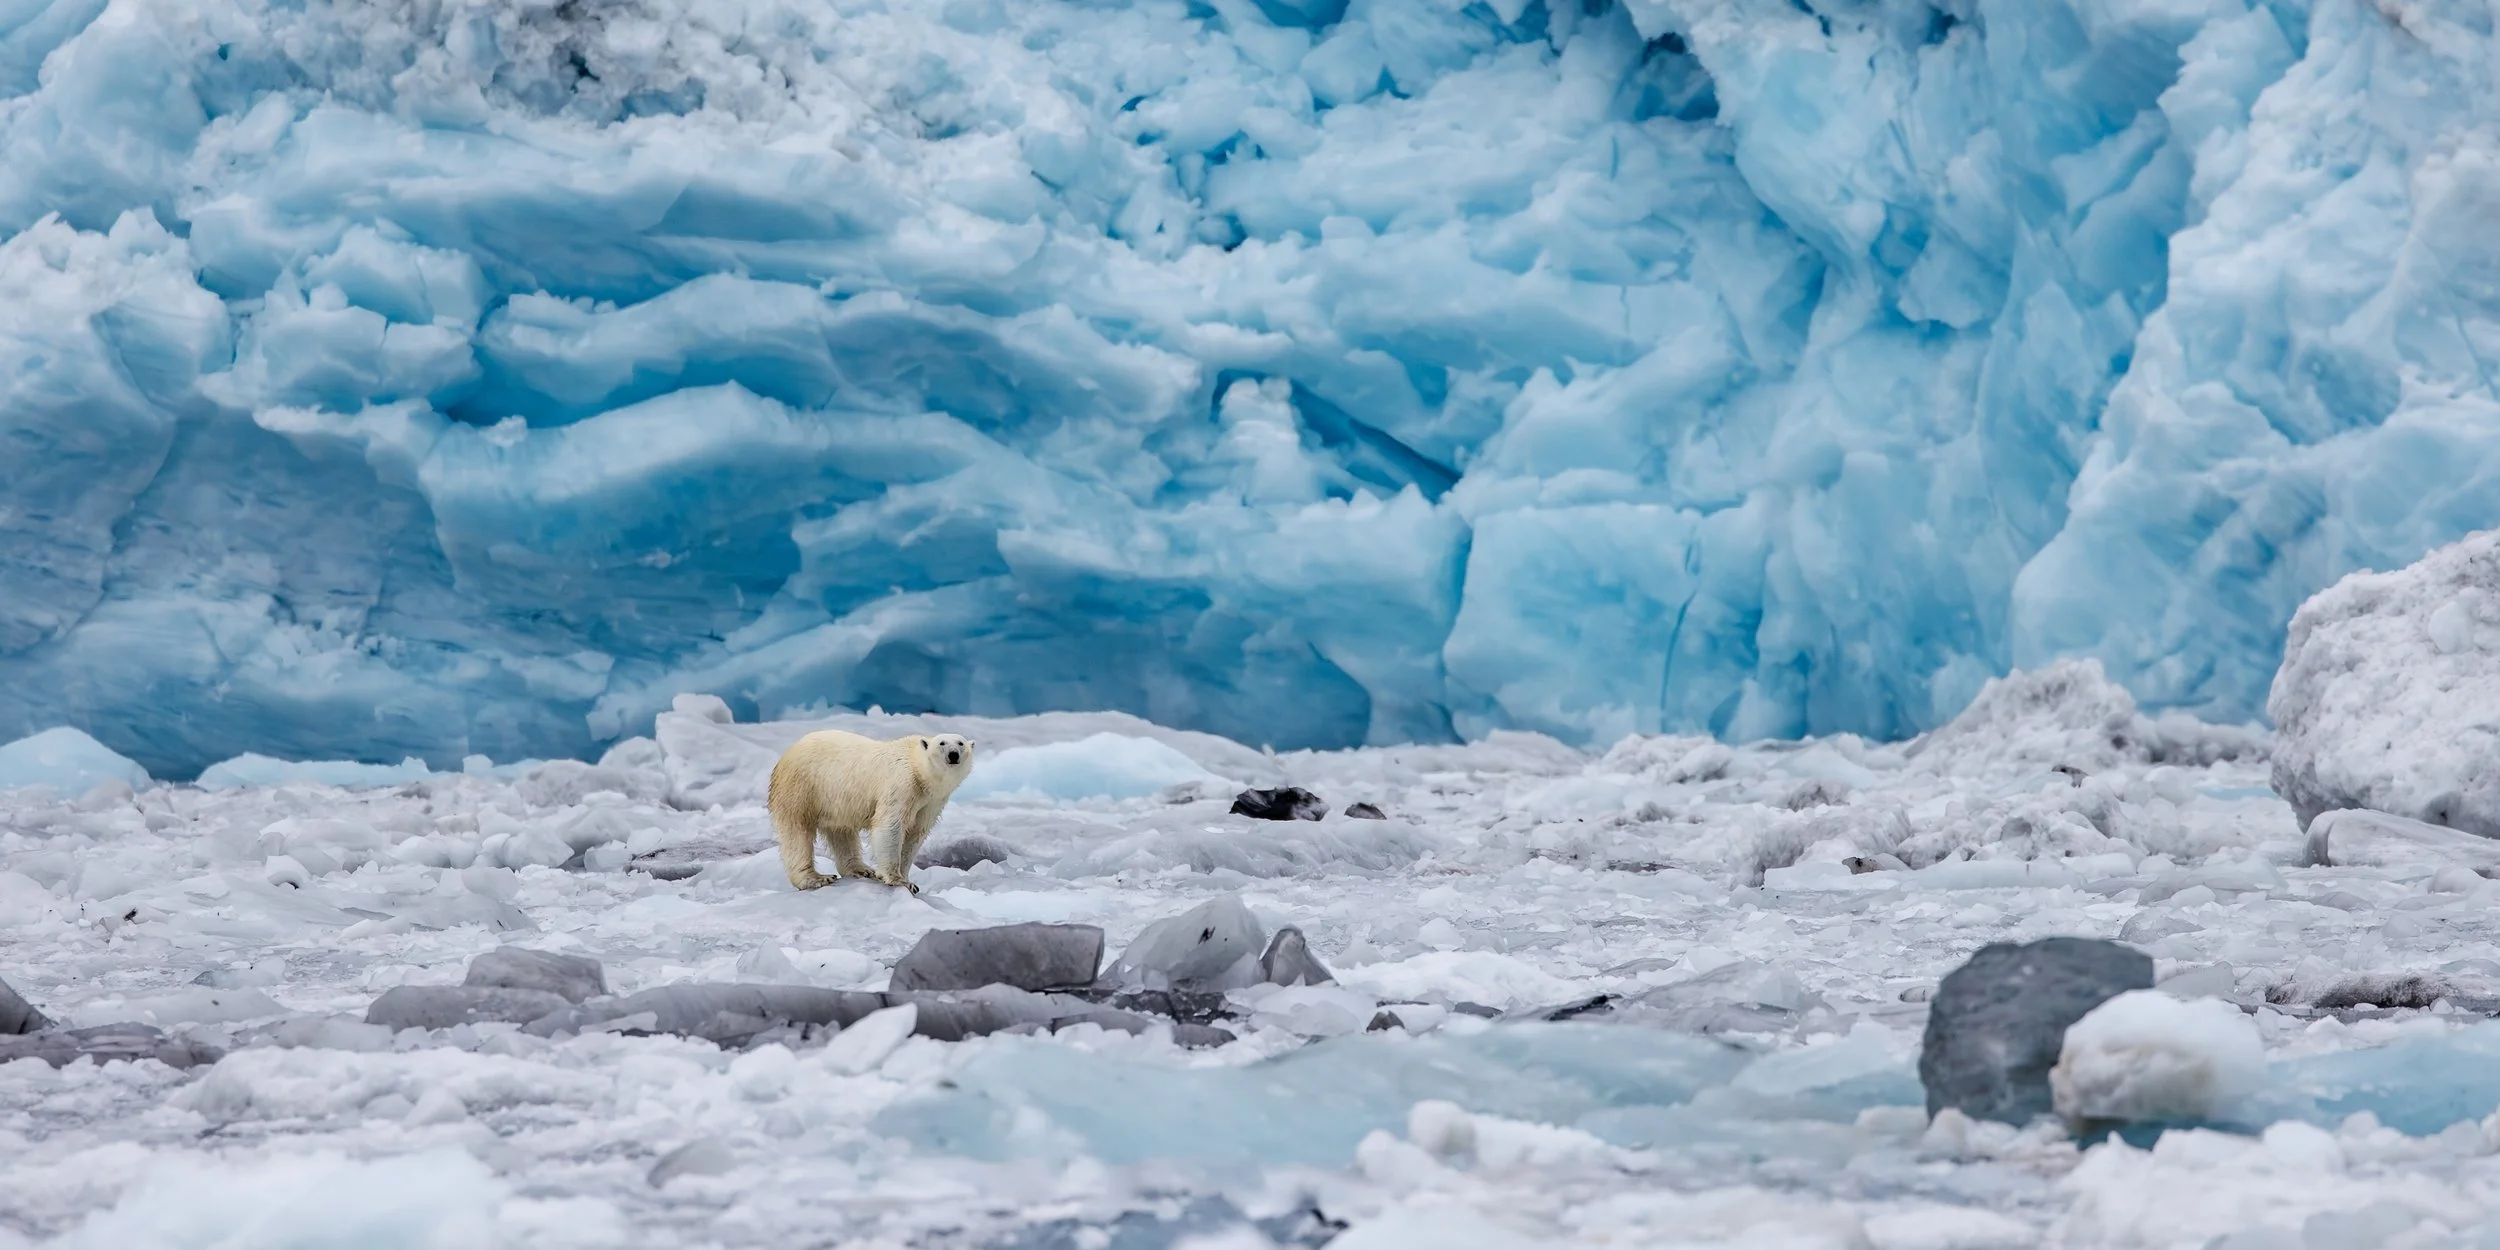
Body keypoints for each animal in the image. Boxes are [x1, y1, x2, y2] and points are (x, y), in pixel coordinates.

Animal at [768, 731, 976, 892]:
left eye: (961, 743)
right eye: (942, 743)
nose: (953, 755)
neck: (918, 769)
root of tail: (787, 753)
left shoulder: (931, 801)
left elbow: (916, 834)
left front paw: (906, 878)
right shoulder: (902, 784)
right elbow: (890, 826)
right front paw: (899, 880)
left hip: (836, 802)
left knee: (842, 832)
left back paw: (861, 870)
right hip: (802, 788)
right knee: (797, 832)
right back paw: (816, 878)